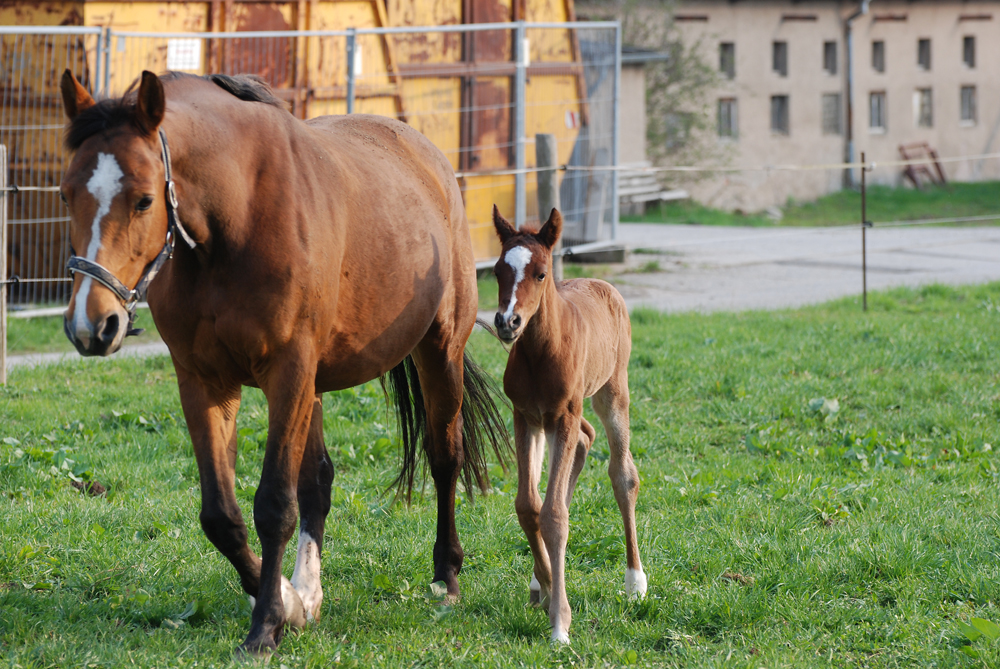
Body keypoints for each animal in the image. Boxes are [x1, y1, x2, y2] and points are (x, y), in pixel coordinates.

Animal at [492, 205, 648, 640]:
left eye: (541, 273)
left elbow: (554, 515)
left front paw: (559, 622)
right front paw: (544, 586)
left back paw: (635, 581)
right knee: (581, 447)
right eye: (497, 270)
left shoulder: (562, 414)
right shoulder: (525, 415)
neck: (539, 351)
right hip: (555, 420)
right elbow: (529, 505)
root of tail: (601, 283)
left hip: (611, 392)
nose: (507, 322)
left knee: (622, 473)